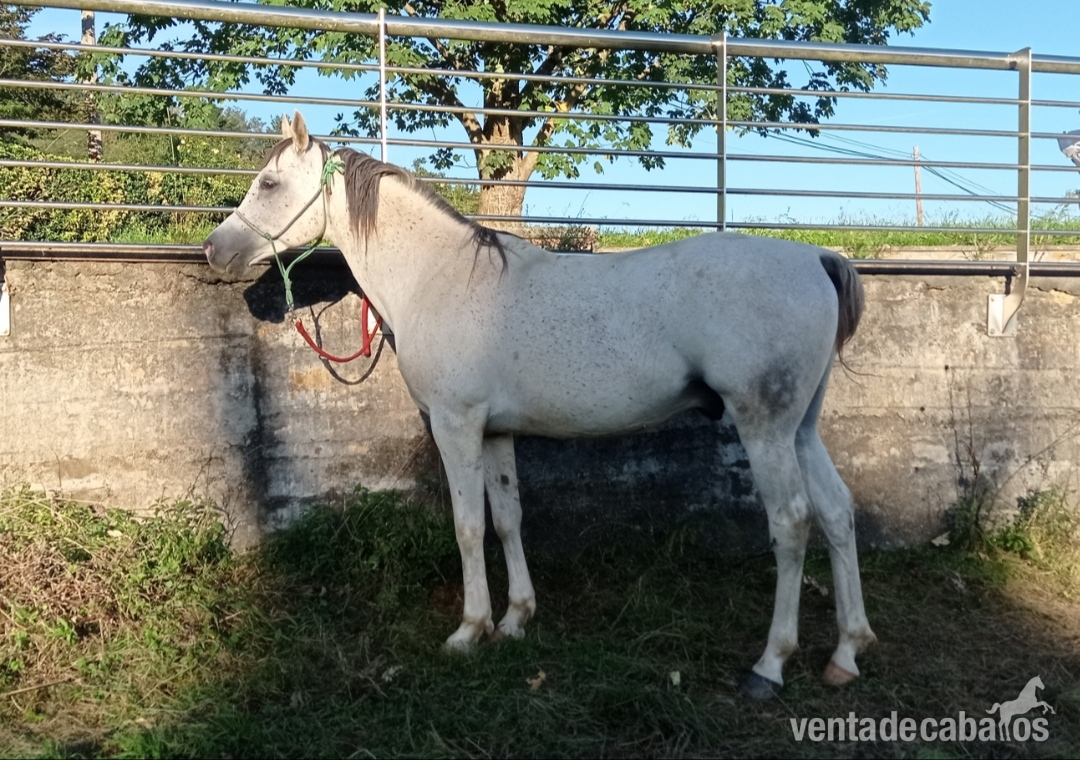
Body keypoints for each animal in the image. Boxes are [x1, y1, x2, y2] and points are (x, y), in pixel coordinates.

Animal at [202, 111, 877, 699]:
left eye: (269, 183)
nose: (215, 250)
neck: (439, 277)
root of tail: (816, 257)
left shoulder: (455, 426)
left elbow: (469, 526)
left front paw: (468, 630)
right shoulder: (496, 433)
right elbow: (508, 519)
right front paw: (515, 620)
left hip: (765, 429)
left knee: (793, 522)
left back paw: (770, 664)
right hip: (800, 429)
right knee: (837, 511)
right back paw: (846, 652)